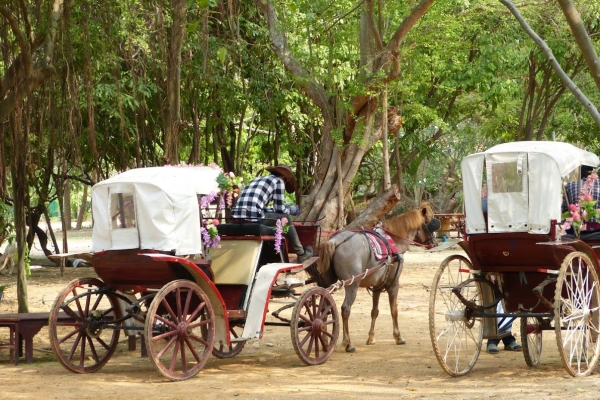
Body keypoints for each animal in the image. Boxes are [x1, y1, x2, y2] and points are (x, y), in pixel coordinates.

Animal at [314, 205, 440, 352]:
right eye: (429, 223)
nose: (434, 243)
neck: (393, 241)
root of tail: (335, 240)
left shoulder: (377, 287)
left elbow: (374, 311)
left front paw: (371, 337)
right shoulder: (394, 285)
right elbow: (394, 311)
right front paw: (398, 337)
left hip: (328, 284)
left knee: (324, 308)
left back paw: (325, 339)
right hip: (352, 284)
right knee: (345, 309)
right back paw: (348, 343)